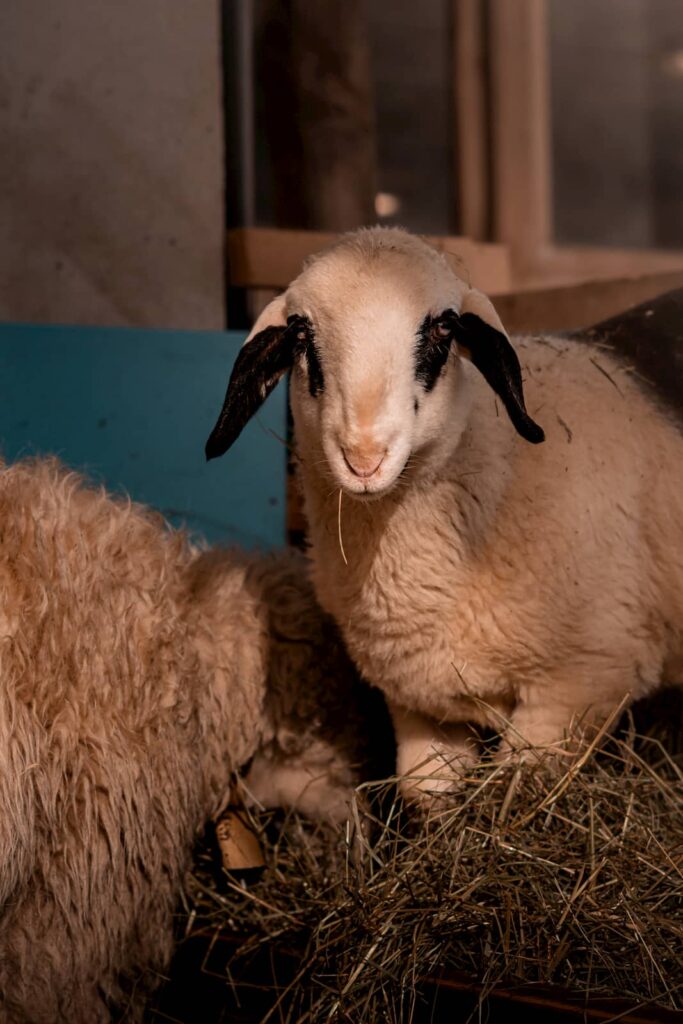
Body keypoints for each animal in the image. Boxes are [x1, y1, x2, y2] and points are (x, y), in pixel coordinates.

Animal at [206, 226, 683, 799]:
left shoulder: (576, 684)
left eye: (443, 328)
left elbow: (518, 790)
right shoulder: (417, 702)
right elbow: (425, 792)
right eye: (301, 335)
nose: (364, 457)